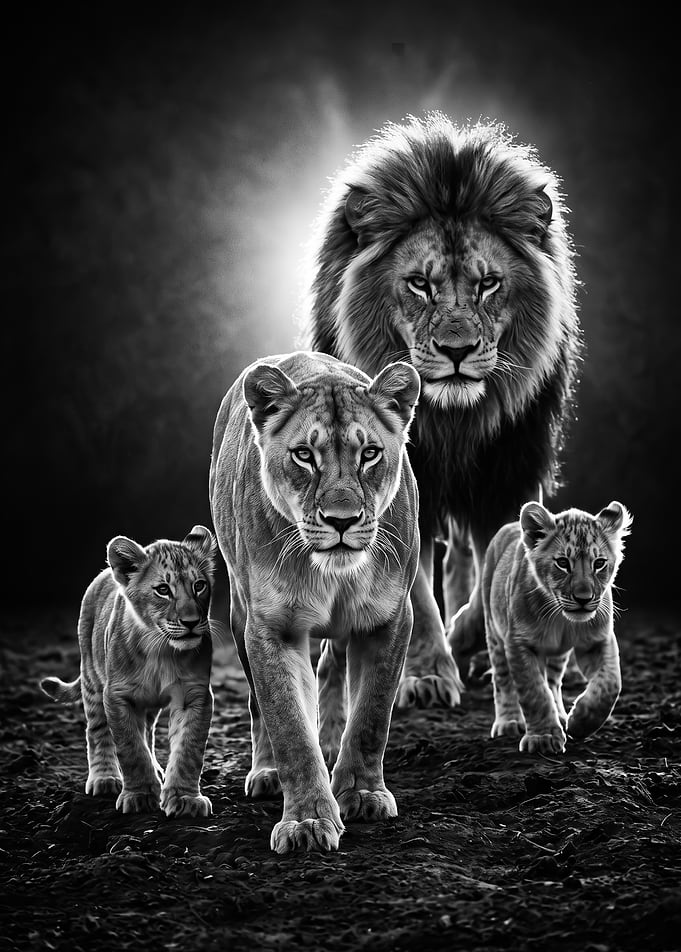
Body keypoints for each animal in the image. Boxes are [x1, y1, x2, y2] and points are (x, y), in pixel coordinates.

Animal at [209, 351, 420, 853]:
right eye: (304, 455)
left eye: (369, 454)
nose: (341, 520)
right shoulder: (271, 628)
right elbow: (288, 726)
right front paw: (307, 821)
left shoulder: (390, 620)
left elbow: (371, 715)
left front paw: (362, 793)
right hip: (239, 612)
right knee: (258, 705)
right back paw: (267, 771)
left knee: (333, 665)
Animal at [304, 112, 582, 705]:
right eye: (419, 284)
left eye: (488, 283)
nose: (457, 350)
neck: (453, 420)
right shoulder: (407, 483)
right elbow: (416, 593)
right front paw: (430, 671)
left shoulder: (507, 469)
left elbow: (500, 556)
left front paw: (472, 635)